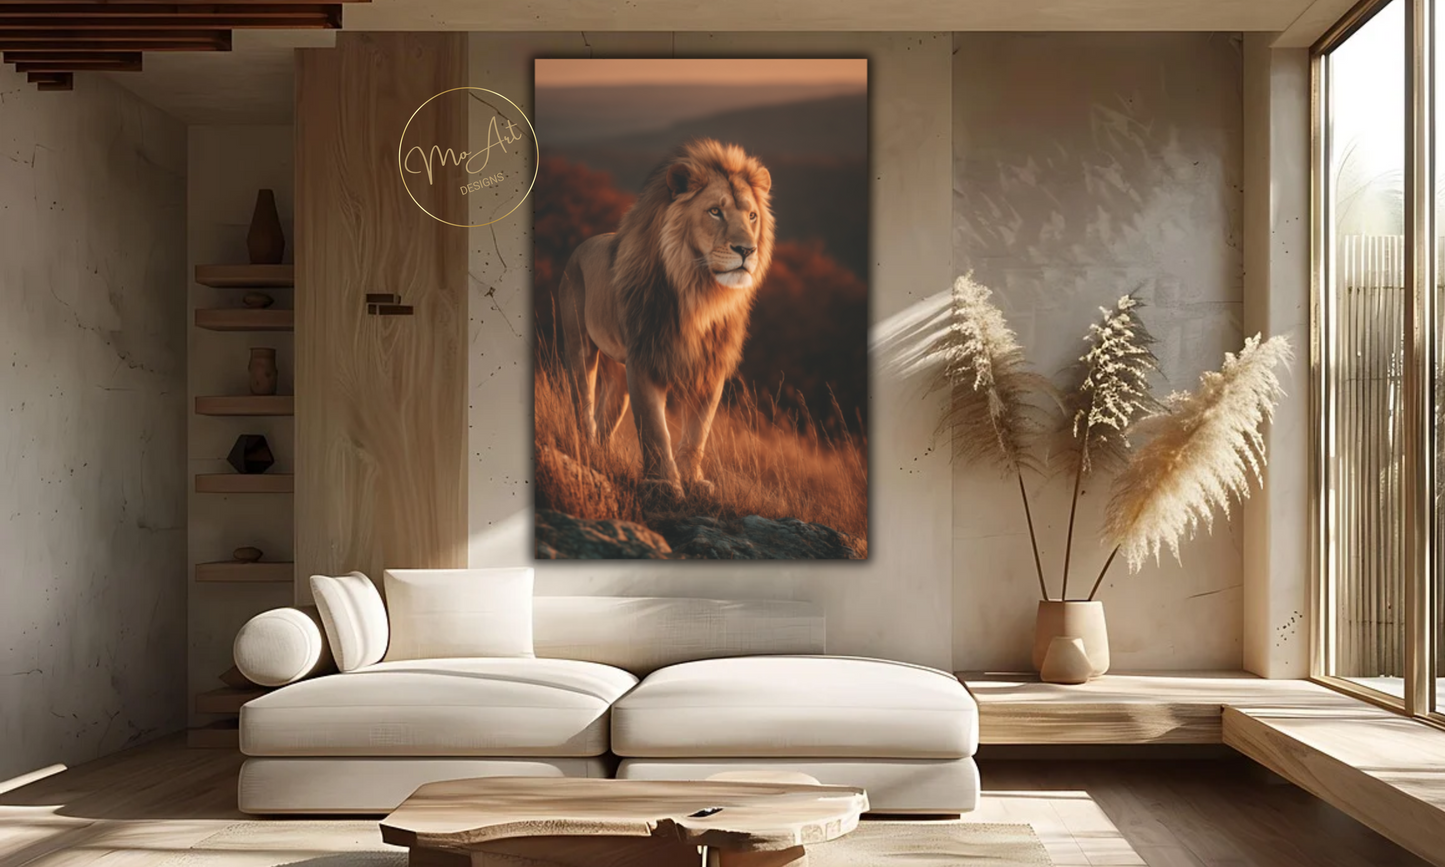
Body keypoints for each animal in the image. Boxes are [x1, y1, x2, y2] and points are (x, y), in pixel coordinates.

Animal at [556, 138, 774, 500]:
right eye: (715, 211)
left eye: (752, 216)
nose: (747, 250)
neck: (700, 295)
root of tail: (580, 246)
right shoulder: (645, 359)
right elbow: (654, 428)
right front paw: (664, 485)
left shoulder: (709, 369)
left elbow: (698, 432)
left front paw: (693, 481)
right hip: (579, 347)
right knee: (583, 402)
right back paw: (586, 449)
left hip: (619, 370)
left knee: (608, 410)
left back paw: (602, 454)